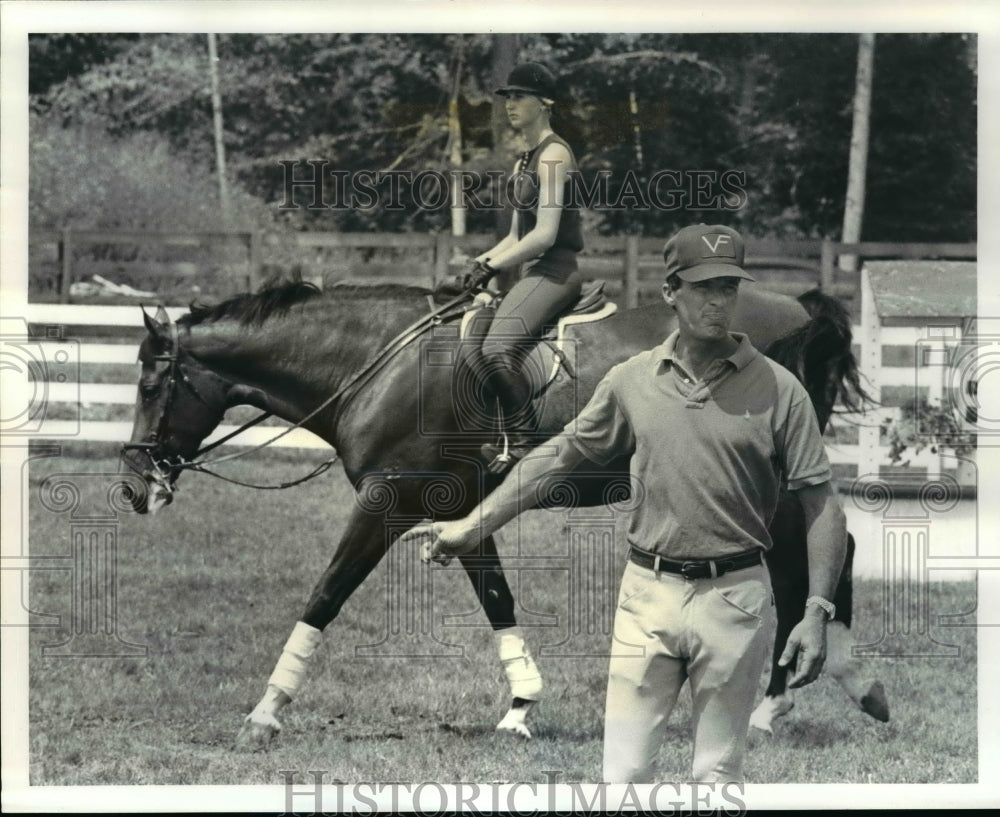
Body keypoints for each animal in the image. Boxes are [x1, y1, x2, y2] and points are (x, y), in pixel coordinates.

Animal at [123, 278, 892, 744]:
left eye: (152, 385)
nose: (133, 489)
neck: (374, 365)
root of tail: (799, 306)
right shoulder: (462, 509)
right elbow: (496, 599)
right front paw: (522, 706)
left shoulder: (382, 503)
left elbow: (325, 595)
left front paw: (267, 710)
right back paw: (835, 685)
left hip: (774, 483)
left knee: (812, 563)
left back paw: (780, 699)